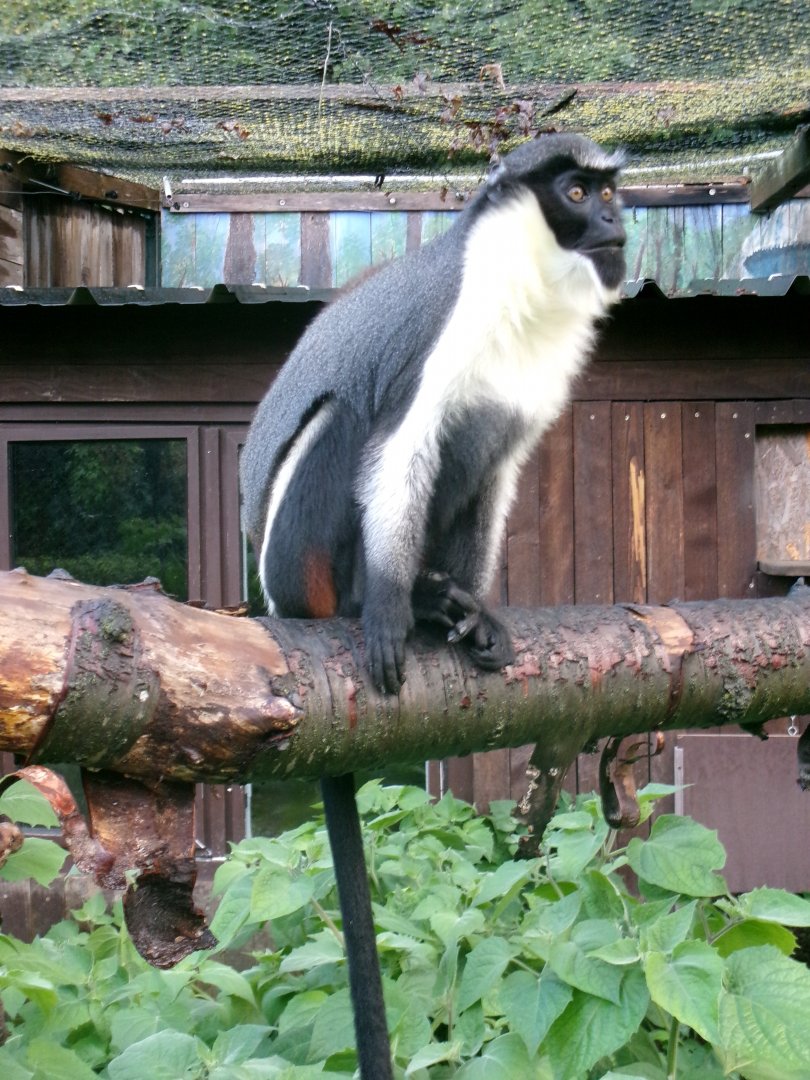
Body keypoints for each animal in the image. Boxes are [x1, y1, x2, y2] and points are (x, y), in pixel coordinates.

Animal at [240, 132, 626, 1078]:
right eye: (575, 191)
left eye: (608, 191)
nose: (614, 221)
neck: (521, 280)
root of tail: (273, 599)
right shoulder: (438, 335)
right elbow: (399, 442)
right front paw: (387, 612)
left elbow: (498, 471)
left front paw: (474, 610)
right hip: (296, 563)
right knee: (343, 419)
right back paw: (385, 605)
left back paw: (440, 604)